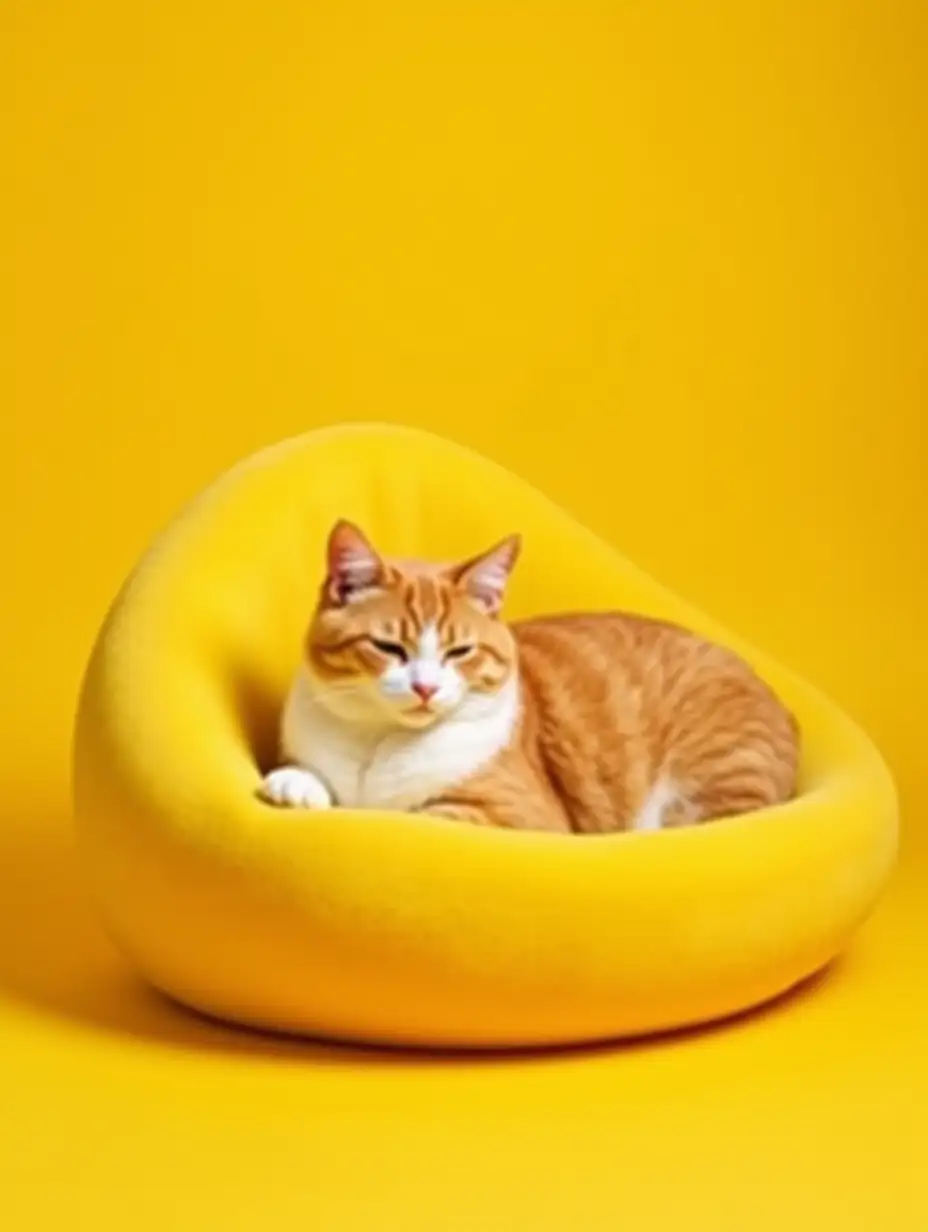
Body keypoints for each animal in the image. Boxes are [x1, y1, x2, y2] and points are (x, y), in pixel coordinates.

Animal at [261, 514, 798, 832]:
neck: (380, 746)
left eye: (460, 651)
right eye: (389, 647)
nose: (425, 688)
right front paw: (296, 785)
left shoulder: (519, 817)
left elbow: (422, 812)